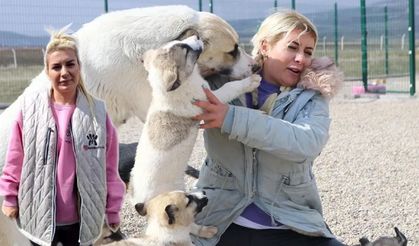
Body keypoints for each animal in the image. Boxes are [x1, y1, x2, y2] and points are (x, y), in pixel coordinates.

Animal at [128, 35, 260, 206]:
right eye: (185, 50)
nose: (197, 36)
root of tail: (140, 202)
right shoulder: (211, 99)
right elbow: (230, 87)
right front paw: (251, 81)